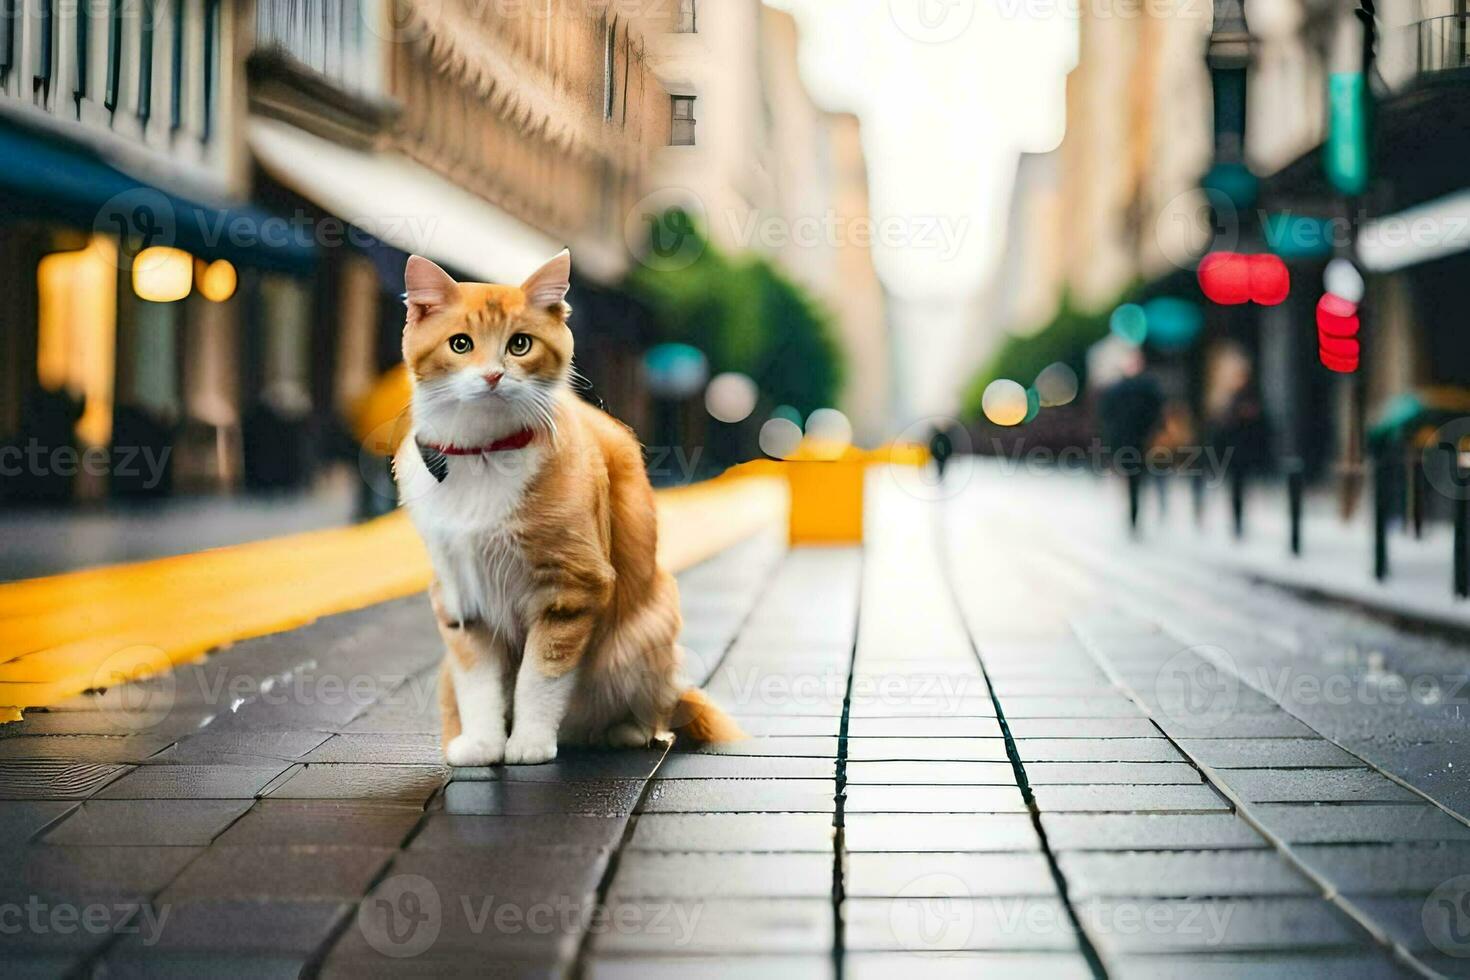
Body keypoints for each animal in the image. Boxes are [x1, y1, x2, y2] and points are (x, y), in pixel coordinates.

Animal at [391, 246, 740, 764]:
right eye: (460, 344)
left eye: (519, 345)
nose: (493, 375)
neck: (484, 453)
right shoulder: (459, 596)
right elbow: (479, 683)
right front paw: (484, 744)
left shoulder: (572, 588)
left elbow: (541, 676)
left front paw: (530, 743)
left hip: (643, 636)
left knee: (647, 708)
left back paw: (624, 731)